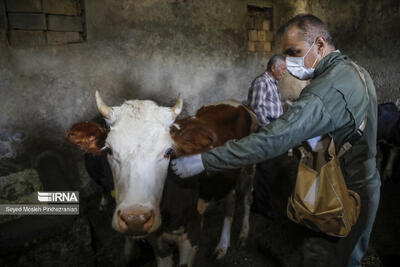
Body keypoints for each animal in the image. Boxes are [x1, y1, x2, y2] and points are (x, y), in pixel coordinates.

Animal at [65, 92, 260, 267]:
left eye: (168, 151)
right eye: (109, 150)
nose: (135, 219)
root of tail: (237, 103)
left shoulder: (193, 231)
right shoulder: (157, 242)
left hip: (248, 167)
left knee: (247, 198)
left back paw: (243, 234)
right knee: (230, 202)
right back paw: (222, 246)